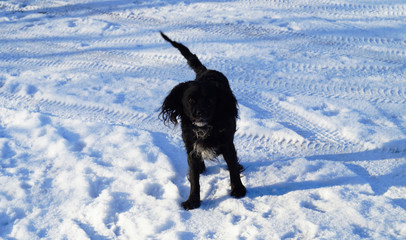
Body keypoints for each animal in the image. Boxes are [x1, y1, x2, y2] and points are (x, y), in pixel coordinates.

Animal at [159, 32, 247, 210]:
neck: (206, 129)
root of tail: (206, 71)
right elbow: (194, 179)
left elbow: (233, 168)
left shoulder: (227, 144)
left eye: (211, 100)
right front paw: (193, 200)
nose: (201, 113)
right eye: (191, 100)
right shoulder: (191, 148)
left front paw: (238, 189)